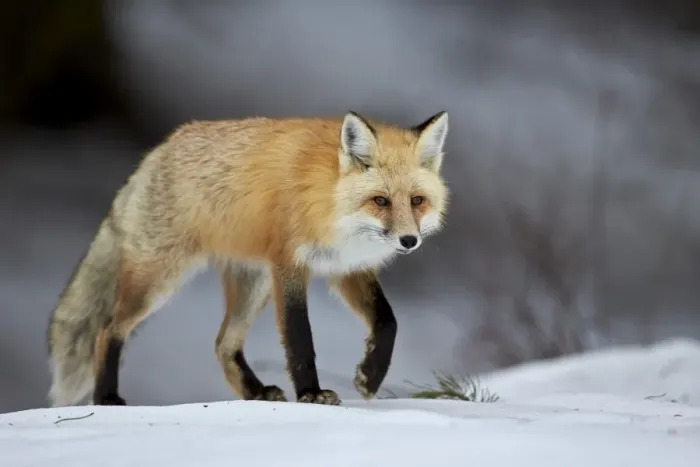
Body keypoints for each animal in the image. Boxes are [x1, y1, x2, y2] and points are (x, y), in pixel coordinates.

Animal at [46, 110, 449, 407]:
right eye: (380, 201)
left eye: (417, 201)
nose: (409, 240)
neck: (330, 202)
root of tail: (159, 149)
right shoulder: (289, 265)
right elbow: (300, 338)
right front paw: (311, 394)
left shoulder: (346, 267)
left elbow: (388, 321)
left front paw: (370, 375)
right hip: (159, 280)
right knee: (107, 329)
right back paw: (106, 398)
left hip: (252, 285)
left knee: (223, 344)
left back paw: (255, 393)